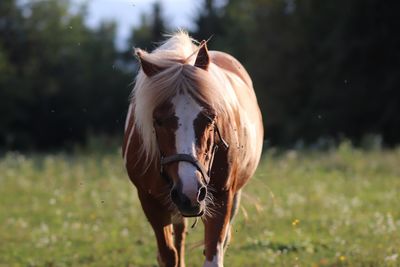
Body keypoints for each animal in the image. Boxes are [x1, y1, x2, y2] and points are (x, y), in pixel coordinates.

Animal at [123, 31, 264, 267]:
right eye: (157, 120)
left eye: (211, 117)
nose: (190, 191)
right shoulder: (150, 202)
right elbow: (168, 254)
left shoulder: (222, 198)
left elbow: (214, 253)